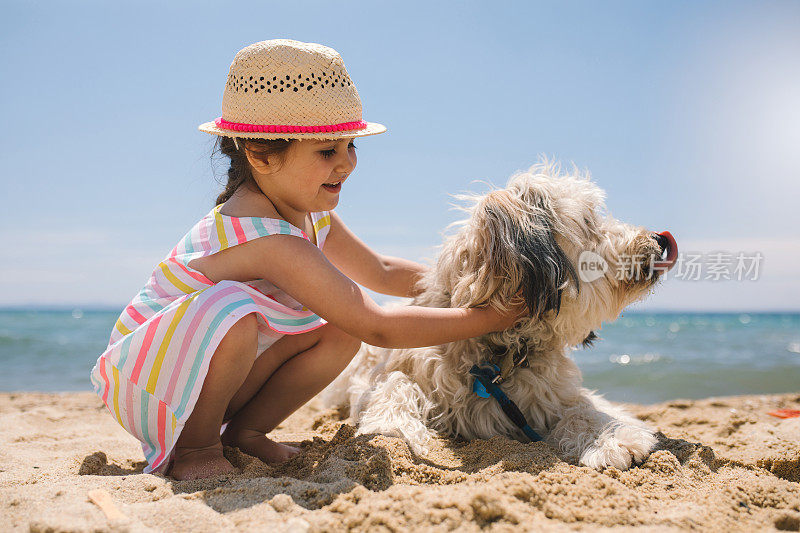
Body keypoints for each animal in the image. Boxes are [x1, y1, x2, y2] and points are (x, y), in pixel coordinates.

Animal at [322, 158, 680, 470]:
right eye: (590, 220)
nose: (659, 239)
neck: (500, 352)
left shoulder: (554, 394)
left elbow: (584, 407)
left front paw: (610, 438)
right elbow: (396, 382)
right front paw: (391, 426)